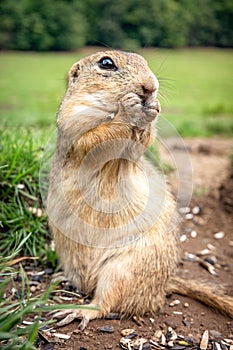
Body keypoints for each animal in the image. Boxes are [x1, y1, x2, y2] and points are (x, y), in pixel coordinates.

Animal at [46, 50, 233, 330]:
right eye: (106, 63)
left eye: (145, 61)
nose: (150, 87)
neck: (109, 109)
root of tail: (163, 287)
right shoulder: (74, 120)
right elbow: (94, 137)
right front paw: (130, 110)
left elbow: (139, 143)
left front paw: (152, 108)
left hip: (123, 269)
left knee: (106, 302)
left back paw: (79, 310)